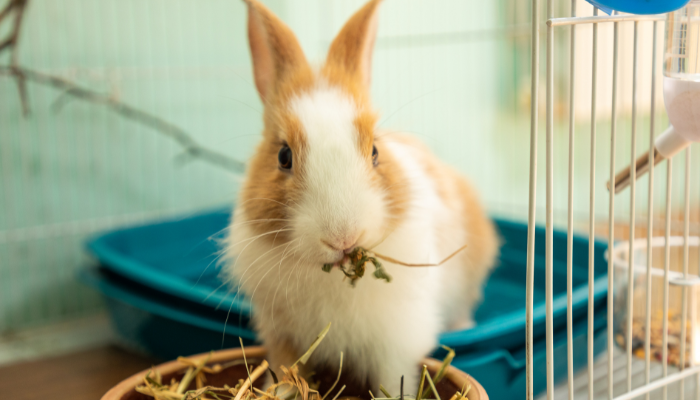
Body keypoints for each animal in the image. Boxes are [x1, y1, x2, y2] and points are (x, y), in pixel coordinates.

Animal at [224, 0, 499, 395]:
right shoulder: (282, 338)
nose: (343, 238)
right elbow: (288, 372)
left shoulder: (395, 342)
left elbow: (393, 379)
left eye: (374, 152)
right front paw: (280, 393)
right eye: (283, 156)